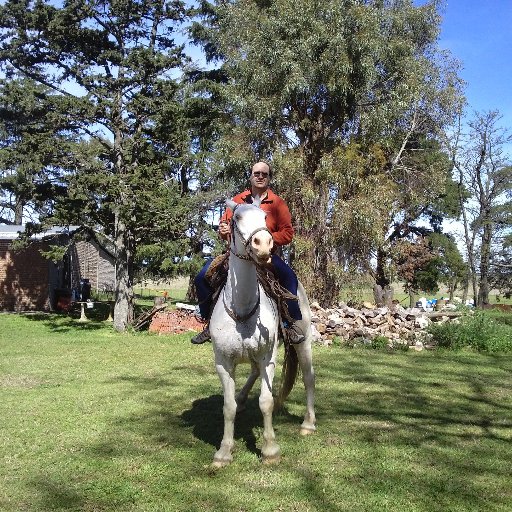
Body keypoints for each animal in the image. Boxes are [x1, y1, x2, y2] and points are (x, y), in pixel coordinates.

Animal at [208, 200, 316, 468]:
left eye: (266, 218)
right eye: (236, 217)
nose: (264, 244)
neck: (242, 308)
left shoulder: (268, 358)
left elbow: (265, 402)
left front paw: (270, 449)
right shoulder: (223, 362)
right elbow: (228, 407)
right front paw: (224, 452)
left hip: (303, 342)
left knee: (309, 378)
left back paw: (308, 423)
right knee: (253, 374)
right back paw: (242, 399)